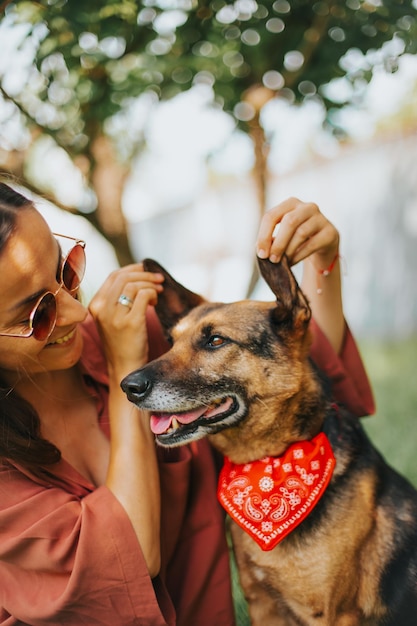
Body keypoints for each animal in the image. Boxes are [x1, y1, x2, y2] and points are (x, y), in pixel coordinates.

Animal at [122, 255, 416, 624]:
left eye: (215, 341)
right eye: (171, 342)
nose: (128, 387)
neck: (269, 462)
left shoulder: (333, 615)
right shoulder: (262, 604)